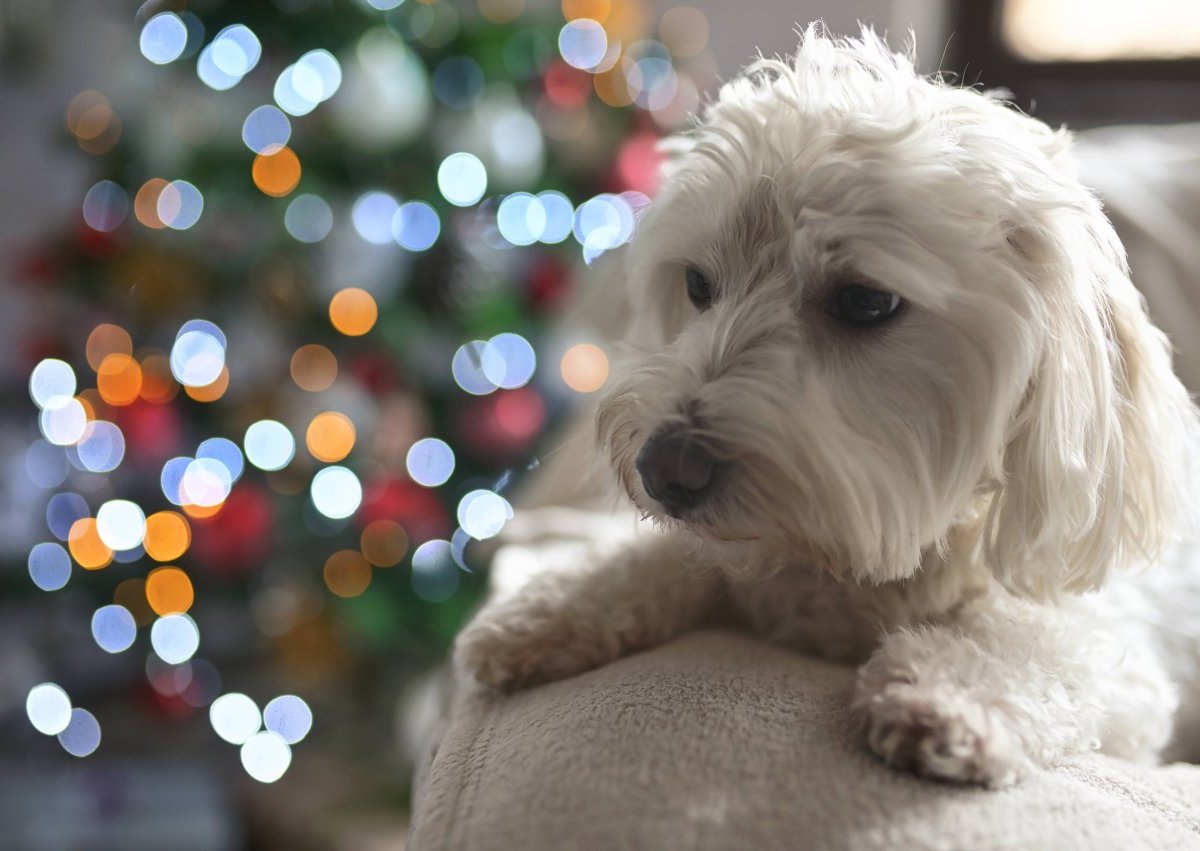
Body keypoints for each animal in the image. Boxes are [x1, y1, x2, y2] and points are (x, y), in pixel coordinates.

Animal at [451, 24, 1200, 782]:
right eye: (698, 284)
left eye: (866, 302)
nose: (664, 470)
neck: (842, 571)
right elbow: (667, 557)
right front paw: (553, 605)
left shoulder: (1118, 661)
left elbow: (1041, 642)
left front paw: (954, 692)